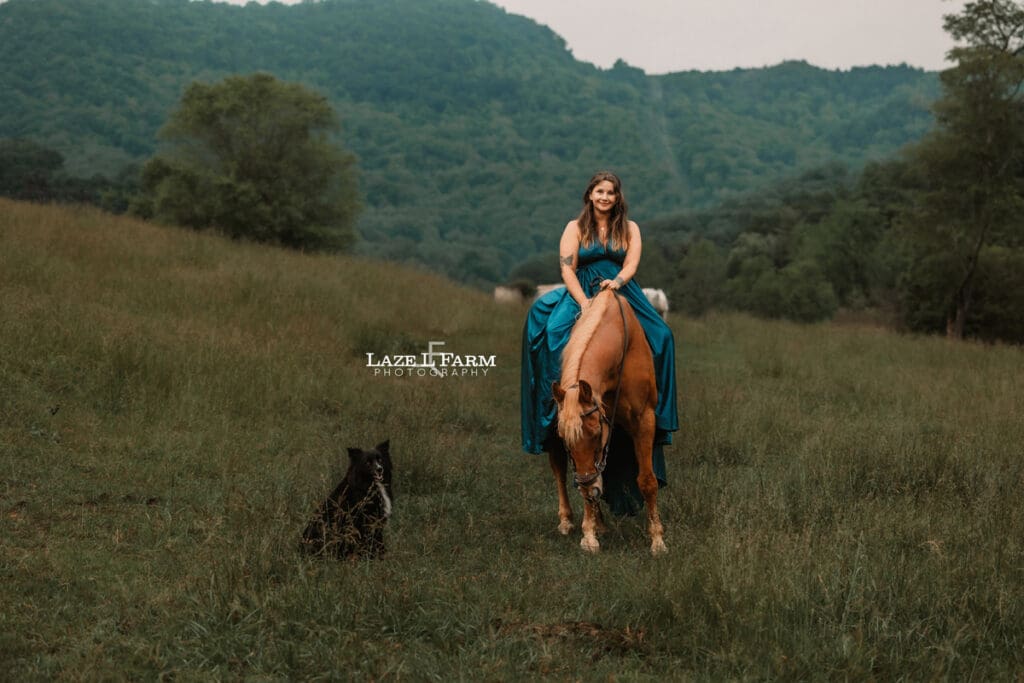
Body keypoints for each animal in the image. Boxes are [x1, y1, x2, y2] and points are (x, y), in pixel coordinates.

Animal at [550, 288, 667, 555]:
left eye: (595, 433)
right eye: (565, 439)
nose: (590, 489)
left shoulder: (644, 419)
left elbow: (648, 480)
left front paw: (657, 540)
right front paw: (589, 535)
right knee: (559, 469)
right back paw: (568, 521)